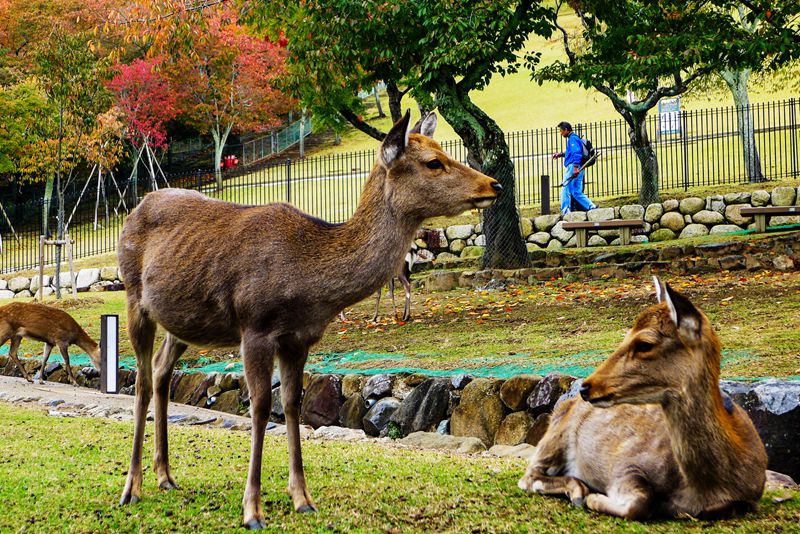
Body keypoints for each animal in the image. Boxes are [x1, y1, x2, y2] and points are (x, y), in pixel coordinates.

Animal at [115, 111, 500, 528]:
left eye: (443, 149)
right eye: (433, 162)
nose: (493, 184)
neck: (308, 286)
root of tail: (136, 209)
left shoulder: (299, 339)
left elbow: (292, 404)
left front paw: (302, 497)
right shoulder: (255, 327)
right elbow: (260, 406)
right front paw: (252, 509)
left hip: (183, 322)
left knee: (161, 370)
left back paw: (166, 476)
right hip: (134, 297)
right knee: (140, 379)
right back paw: (131, 488)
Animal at [520, 278, 768, 520]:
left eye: (644, 344)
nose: (586, 387)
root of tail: (565, 402)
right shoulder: (625, 464)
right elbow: (640, 502)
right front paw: (594, 498)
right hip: (555, 437)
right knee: (529, 476)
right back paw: (578, 491)